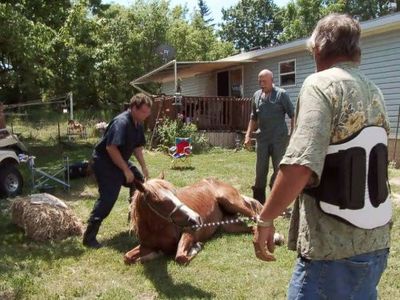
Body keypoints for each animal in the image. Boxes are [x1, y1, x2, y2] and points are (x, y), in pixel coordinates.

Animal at [125, 176, 284, 264]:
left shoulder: (189, 232)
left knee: (257, 217)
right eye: (159, 201)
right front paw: (151, 256)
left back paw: (276, 237)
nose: (196, 218)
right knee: (253, 228)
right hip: (229, 225)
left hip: (232, 203)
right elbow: (127, 257)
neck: (156, 228)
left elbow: (180, 257)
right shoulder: (146, 246)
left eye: (175, 194)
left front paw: (196, 247)